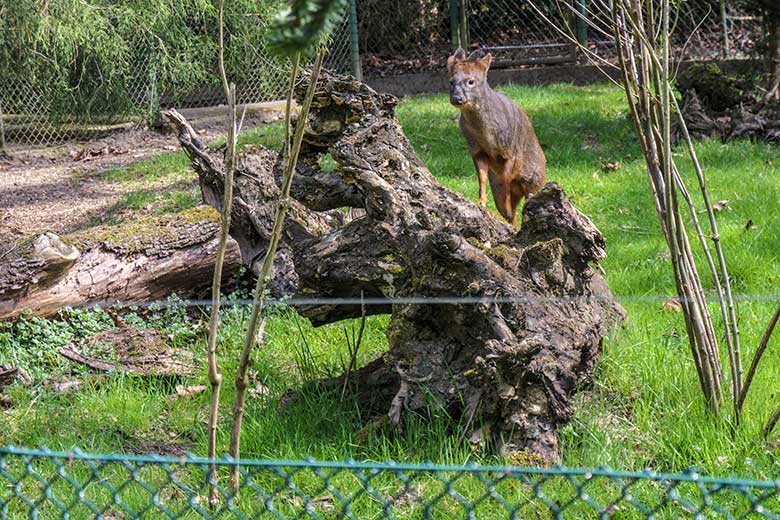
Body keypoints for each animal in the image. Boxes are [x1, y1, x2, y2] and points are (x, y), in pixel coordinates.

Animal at [444, 48, 548, 228]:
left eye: (471, 81)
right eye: (451, 81)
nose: (457, 98)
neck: (486, 135)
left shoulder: (510, 150)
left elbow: (506, 177)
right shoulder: (476, 150)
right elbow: (482, 178)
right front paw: (481, 203)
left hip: (537, 181)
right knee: (512, 215)